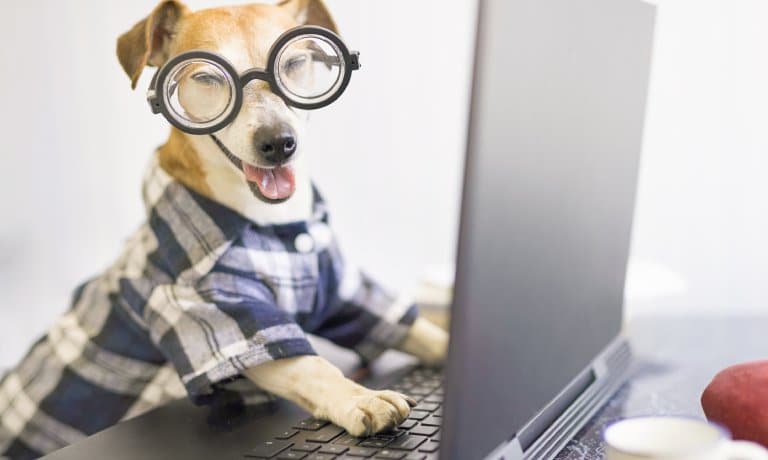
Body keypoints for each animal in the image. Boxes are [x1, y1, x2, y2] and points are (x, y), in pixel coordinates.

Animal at [0, 1, 450, 458]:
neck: (274, 225)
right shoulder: (214, 312)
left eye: (295, 62)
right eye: (206, 77)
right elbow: (310, 366)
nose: (278, 142)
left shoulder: (341, 290)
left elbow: (414, 327)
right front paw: (360, 397)